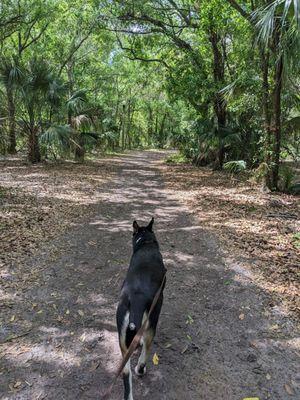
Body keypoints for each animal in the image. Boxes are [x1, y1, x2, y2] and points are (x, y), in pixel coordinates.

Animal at [116, 219, 166, 400]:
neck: (146, 243)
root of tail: (136, 299)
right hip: (153, 318)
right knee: (146, 351)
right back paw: (141, 368)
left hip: (122, 340)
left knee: (126, 374)